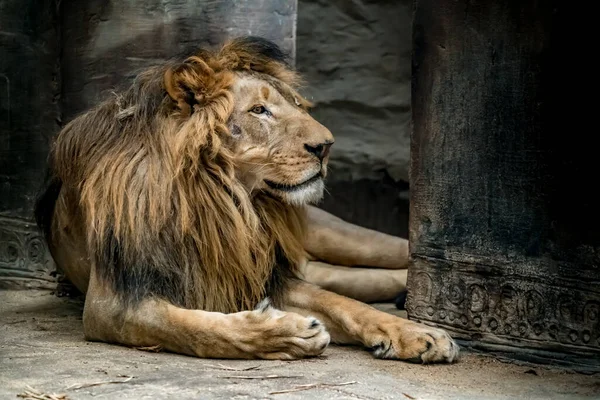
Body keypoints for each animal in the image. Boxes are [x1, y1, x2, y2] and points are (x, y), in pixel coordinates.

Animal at [36, 36, 460, 362]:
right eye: (259, 110)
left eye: (294, 105)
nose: (326, 147)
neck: (224, 202)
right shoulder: (113, 303)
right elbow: (193, 327)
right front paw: (287, 334)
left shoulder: (268, 275)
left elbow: (343, 304)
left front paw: (418, 334)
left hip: (337, 237)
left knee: (388, 256)